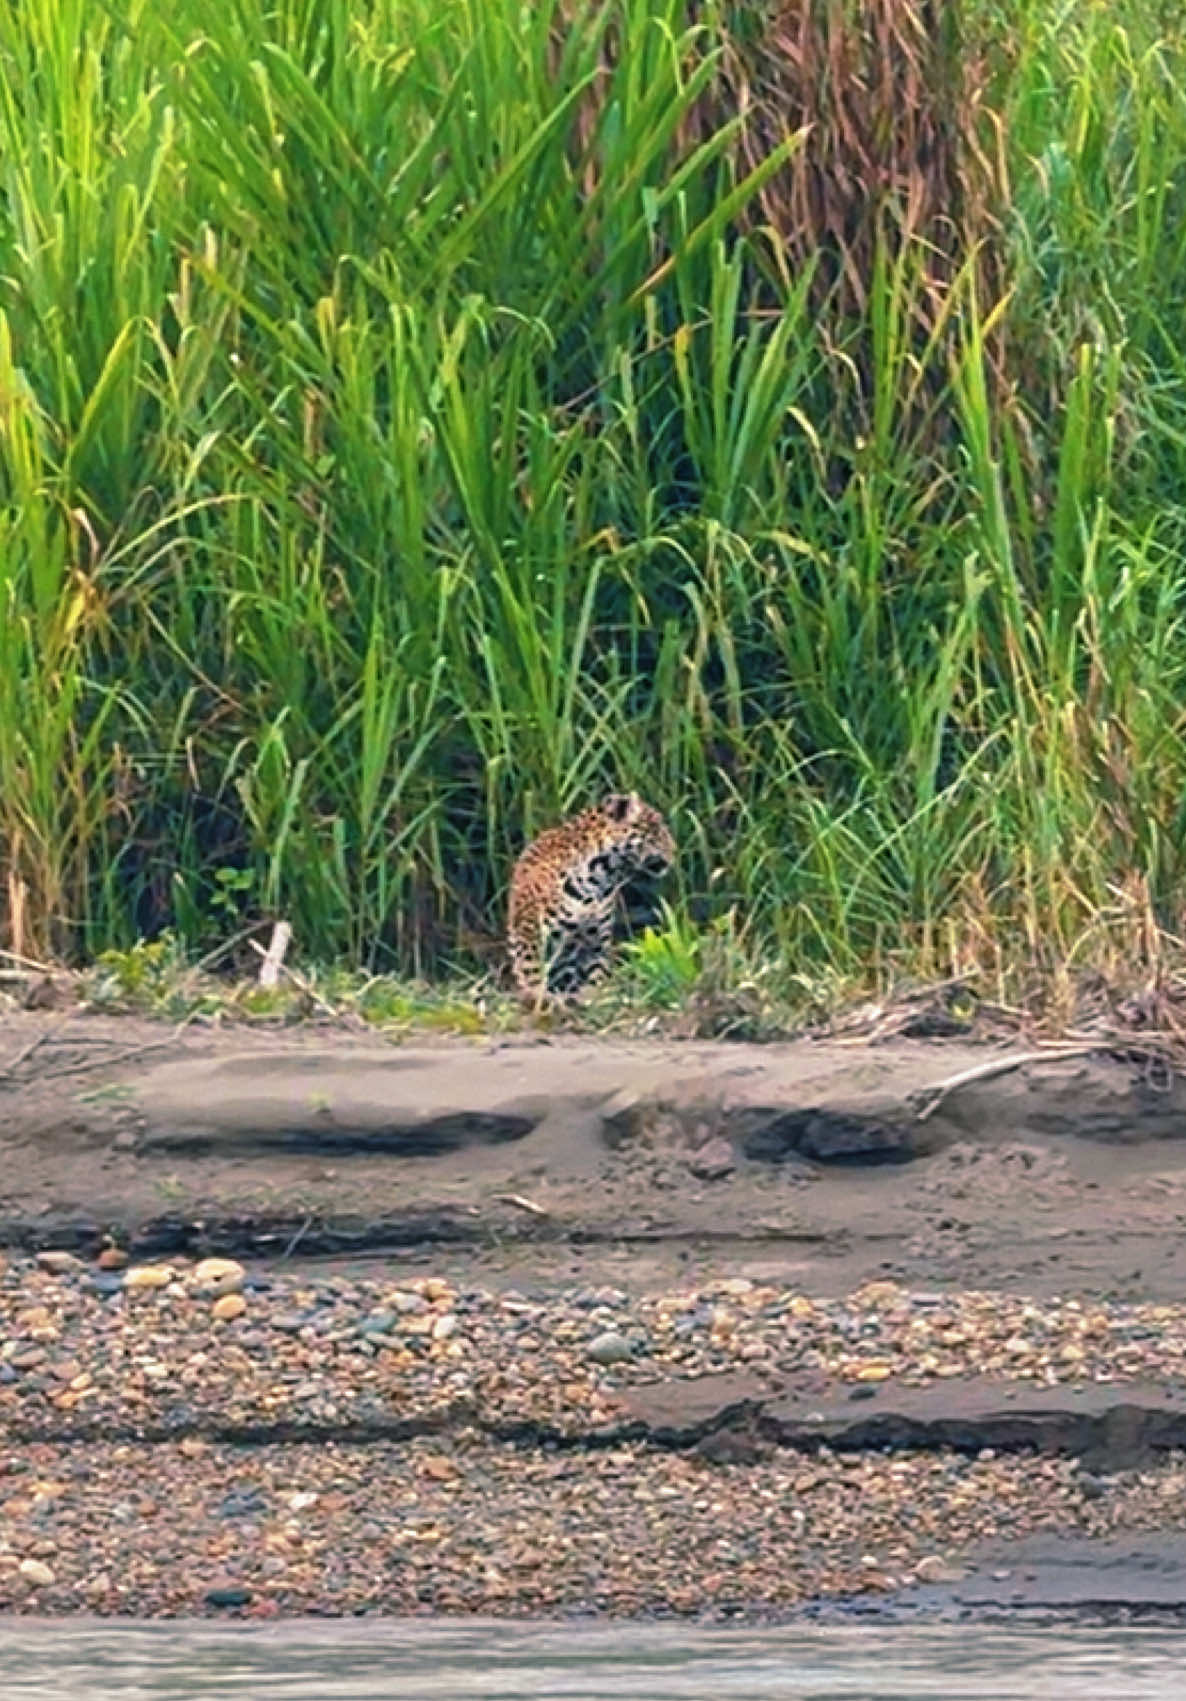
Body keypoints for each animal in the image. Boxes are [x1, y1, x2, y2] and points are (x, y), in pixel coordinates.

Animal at [506, 791, 677, 1003]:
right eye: (655, 830)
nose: (675, 850)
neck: (599, 877)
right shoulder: (529, 930)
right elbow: (532, 970)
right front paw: (538, 998)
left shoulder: (595, 940)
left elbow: (597, 974)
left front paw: (597, 998)